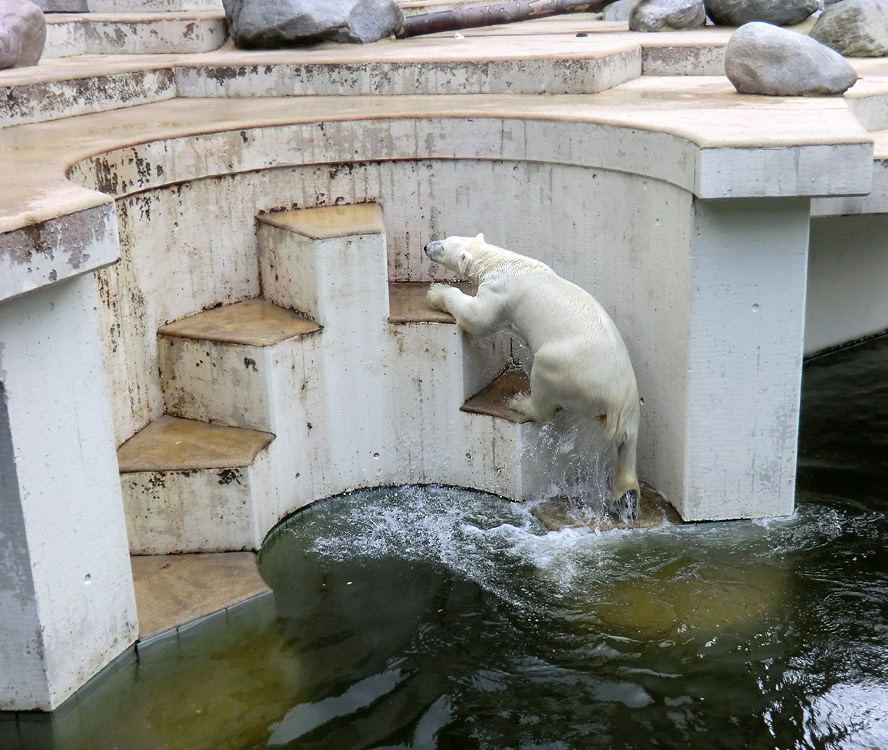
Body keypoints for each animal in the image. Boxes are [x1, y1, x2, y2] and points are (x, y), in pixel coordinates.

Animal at [424, 235, 640, 516]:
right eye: (445, 238)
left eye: (443, 247)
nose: (426, 246)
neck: (500, 261)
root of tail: (614, 402)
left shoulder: (500, 293)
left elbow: (477, 319)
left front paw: (436, 292)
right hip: (631, 404)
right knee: (627, 444)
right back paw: (625, 494)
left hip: (567, 369)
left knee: (544, 379)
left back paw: (520, 402)